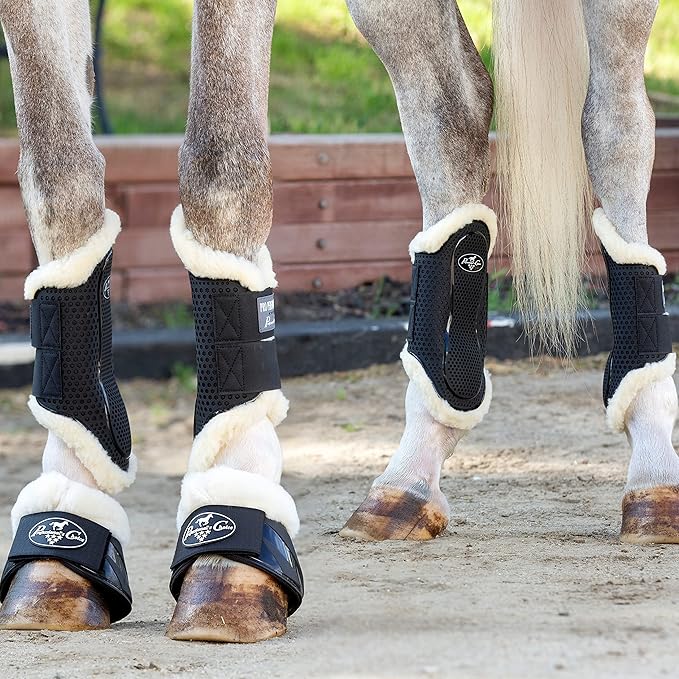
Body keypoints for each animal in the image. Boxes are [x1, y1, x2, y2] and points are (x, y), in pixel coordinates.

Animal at [0, 0, 675, 644]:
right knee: (453, 101)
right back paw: (408, 482)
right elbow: (58, 184)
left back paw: (652, 474)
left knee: (615, 122)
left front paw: (231, 534)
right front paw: (63, 533)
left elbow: (220, 173)